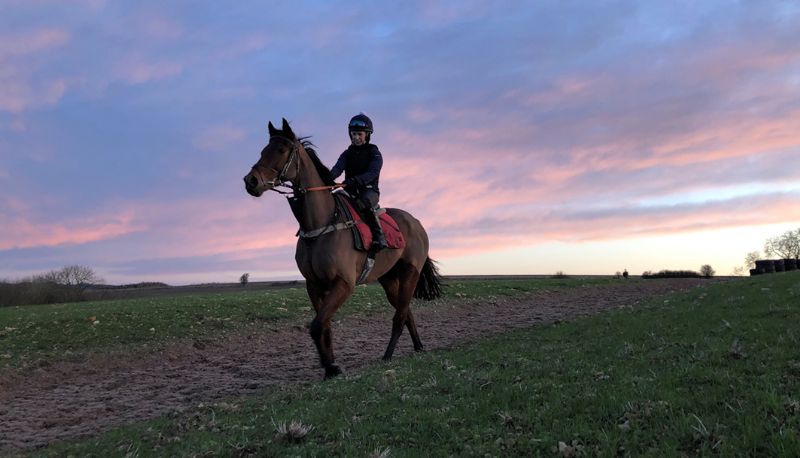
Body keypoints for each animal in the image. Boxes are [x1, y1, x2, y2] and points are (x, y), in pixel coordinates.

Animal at [244, 118, 444, 380]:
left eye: (280, 150)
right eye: (262, 151)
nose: (251, 181)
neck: (321, 224)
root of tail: (417, 223)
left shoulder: (344, 283)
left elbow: (317, 325)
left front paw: (332, 366)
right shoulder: (314, 285)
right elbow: (324, 326)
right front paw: (329, 367)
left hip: (411, 273)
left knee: (400, 315)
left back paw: (388, 355)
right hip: (389, 279)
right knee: (406, 311)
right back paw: (418, 347)